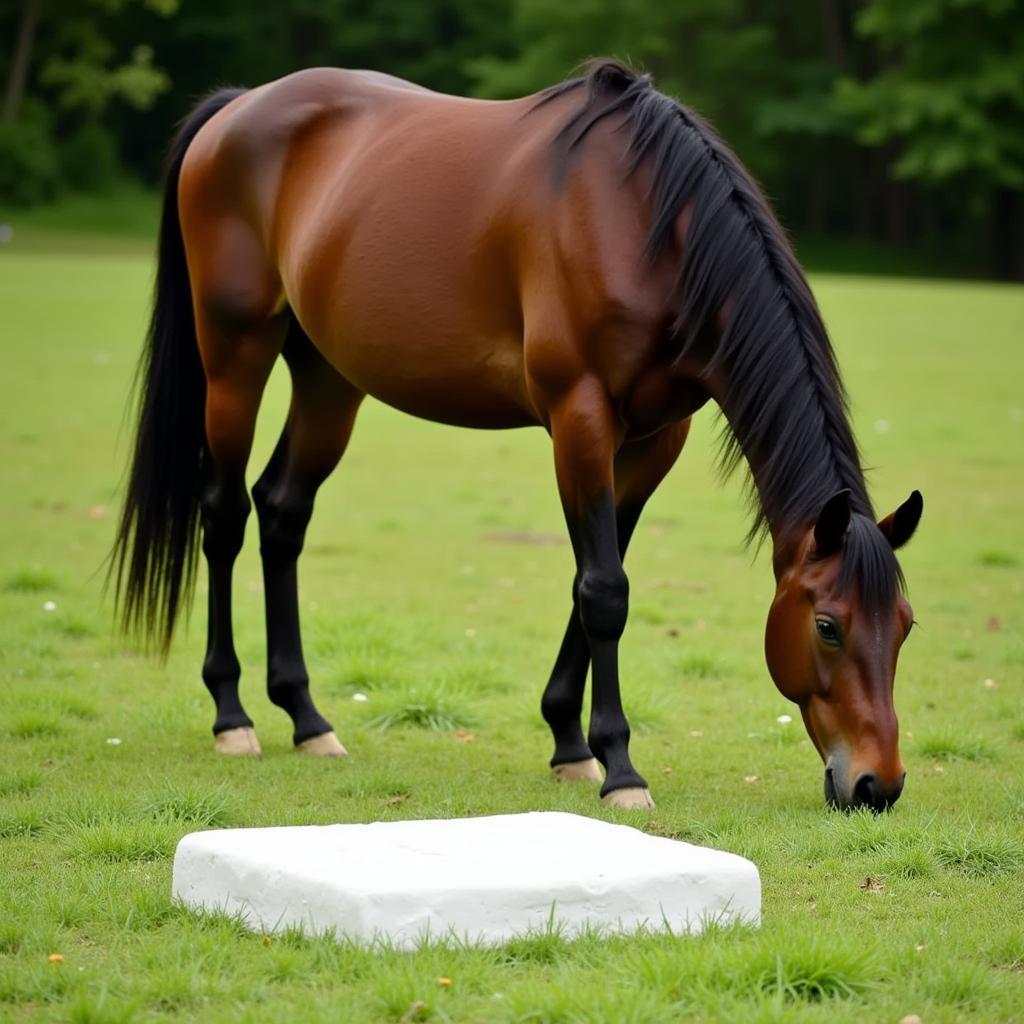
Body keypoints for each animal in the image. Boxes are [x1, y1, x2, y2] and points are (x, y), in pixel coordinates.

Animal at [110, 59, 921, 815]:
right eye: (827, 626)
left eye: (907, 625)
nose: (876, 784)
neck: (646, 226)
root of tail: (239, 107)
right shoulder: (579, 417)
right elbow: (604, 590)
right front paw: (621, 769)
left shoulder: (655, 439)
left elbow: (597, 578)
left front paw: (570, 743)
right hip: (235, 356)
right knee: (224, 516)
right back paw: (233, 716)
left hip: (328, 377)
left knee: (282, 511)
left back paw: (308, 720)